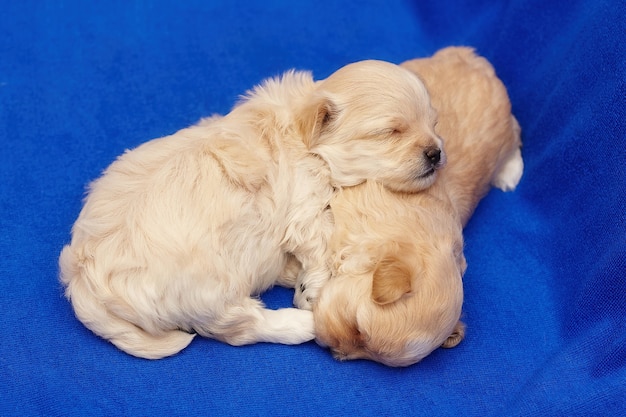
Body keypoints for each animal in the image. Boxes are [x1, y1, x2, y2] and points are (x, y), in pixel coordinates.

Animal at [57, 60, 438, 360]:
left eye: (434, 124)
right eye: (391, 131)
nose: (436, 153)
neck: (304, 136)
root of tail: (82, 279)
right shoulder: (306, 206)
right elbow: (321, 244)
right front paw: (314, 288)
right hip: (210, 289)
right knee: (241, 328)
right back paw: (301, 323)